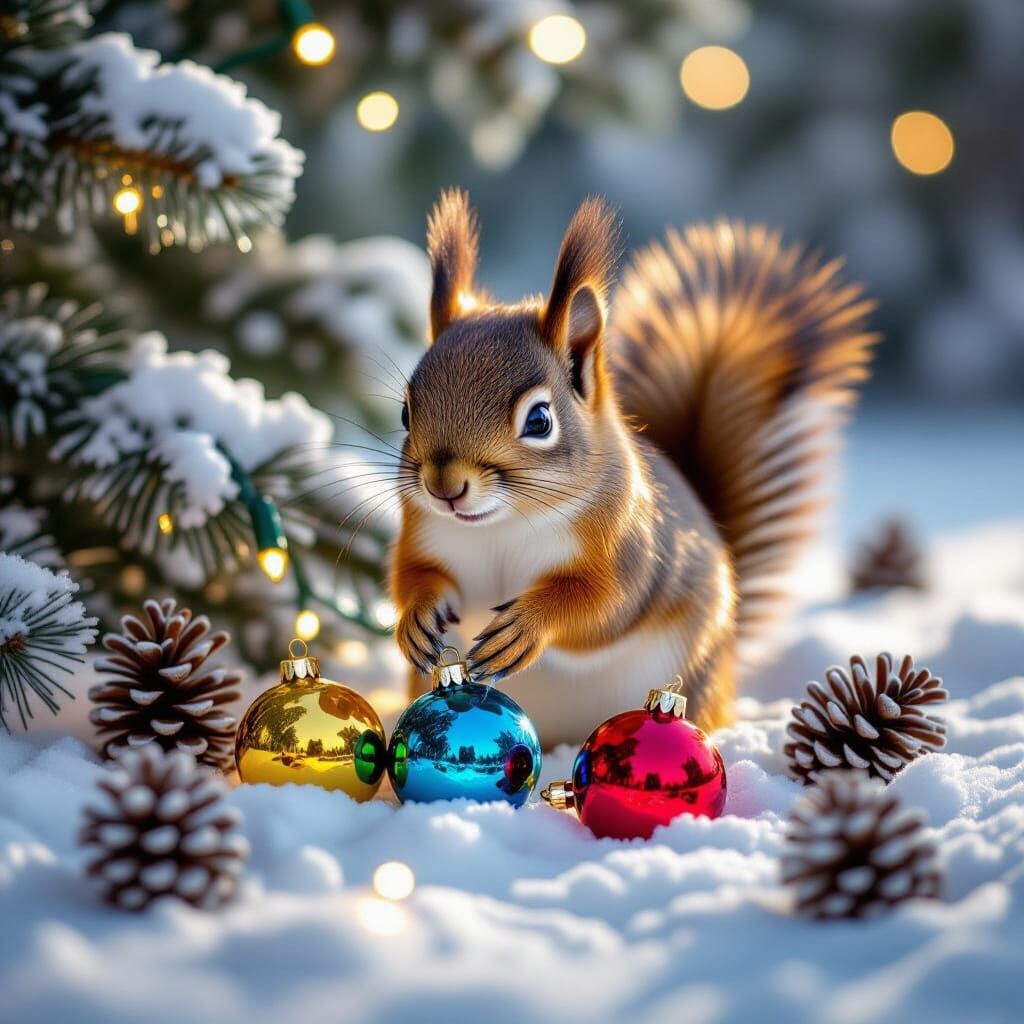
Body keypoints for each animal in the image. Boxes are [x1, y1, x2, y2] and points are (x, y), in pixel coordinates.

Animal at [390, 188, 877, 747]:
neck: (500, 527)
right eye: (405, 413)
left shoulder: (631, 552)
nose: (444, 487)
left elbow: (604, 607)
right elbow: (412, 576)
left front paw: (527, 625)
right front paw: (414, 616)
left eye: (539, 420)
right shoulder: (422, 535)